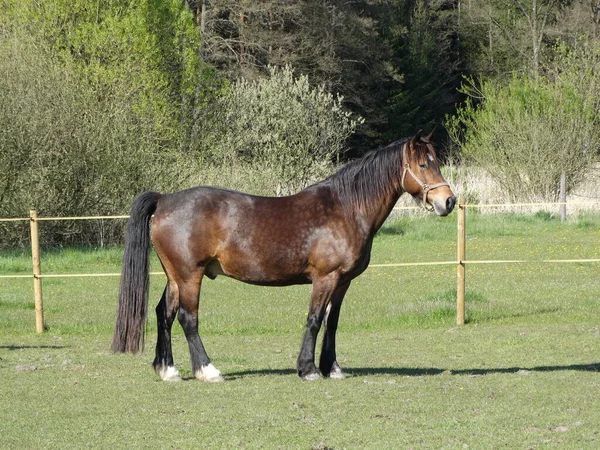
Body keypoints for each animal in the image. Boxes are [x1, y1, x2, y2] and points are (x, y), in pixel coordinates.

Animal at [111, 129, 454, 380]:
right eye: (424, 164)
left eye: (436, 161)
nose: (448, 201)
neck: (345, 208)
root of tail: (165, 199)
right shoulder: (325, 278)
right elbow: (314, 319)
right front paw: (309, 369)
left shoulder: (342, 282)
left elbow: (332, 322)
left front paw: (332, 368)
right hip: (189, 275)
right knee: (187, 318)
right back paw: (208, 370)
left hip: (175, 277)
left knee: (164, 314)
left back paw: (167, 370)